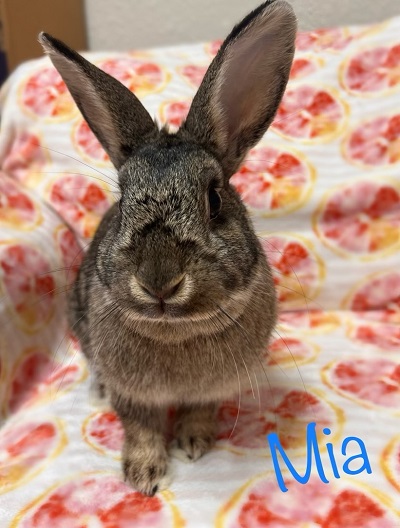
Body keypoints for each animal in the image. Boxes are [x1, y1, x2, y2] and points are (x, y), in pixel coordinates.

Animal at [39, 0, 296, 496]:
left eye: (214, 200)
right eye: (123, 201)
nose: (159, 280)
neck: (175, 331)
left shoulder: (212, 391)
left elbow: (198, 412)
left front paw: (195, 444)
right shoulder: (133, 397)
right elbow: (139, 428)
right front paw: (143, 476)